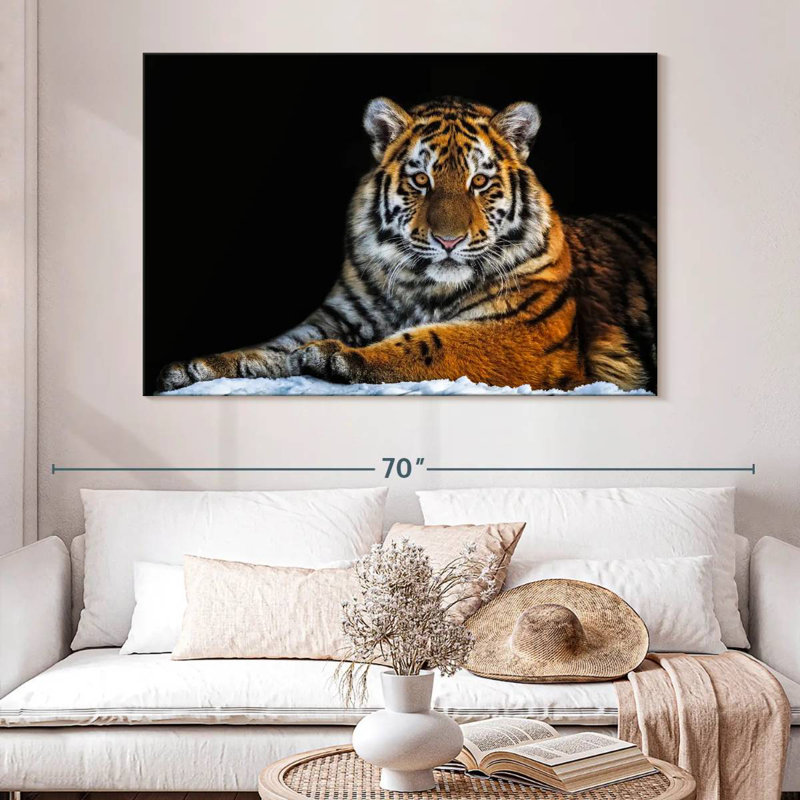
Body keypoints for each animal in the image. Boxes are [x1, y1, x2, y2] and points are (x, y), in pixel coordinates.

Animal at [157, 96, 656, 394]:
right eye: (421, 180)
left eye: (479, 182)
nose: (449, 240)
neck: (421, 286)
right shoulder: (338, 315)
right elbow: (272, 348)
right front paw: (198, 366)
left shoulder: (523, 332)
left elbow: (435, 343)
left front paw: (337, 358)